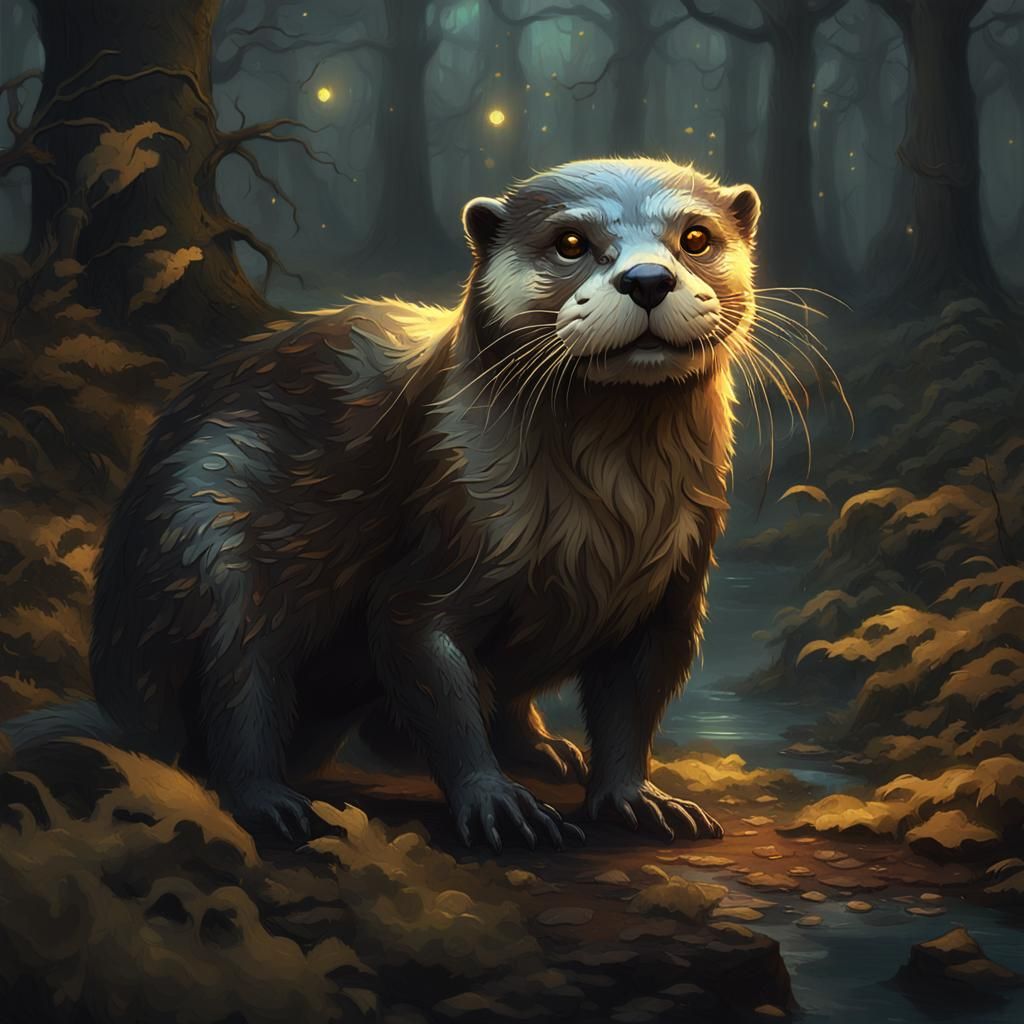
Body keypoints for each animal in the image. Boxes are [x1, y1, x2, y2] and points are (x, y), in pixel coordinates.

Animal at [4, 158, 761, 849]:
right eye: (571, 242)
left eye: (695, 237)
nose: (647, 279)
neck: (606, 518)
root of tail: (121, 692)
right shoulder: (445, 546)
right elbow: (429, 670)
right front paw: (494, 801)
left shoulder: (672, 588)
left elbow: (635, 700)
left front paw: (637, 799)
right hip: (202, 532)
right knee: (237, 688)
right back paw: (270, 802)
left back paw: (546, 751)